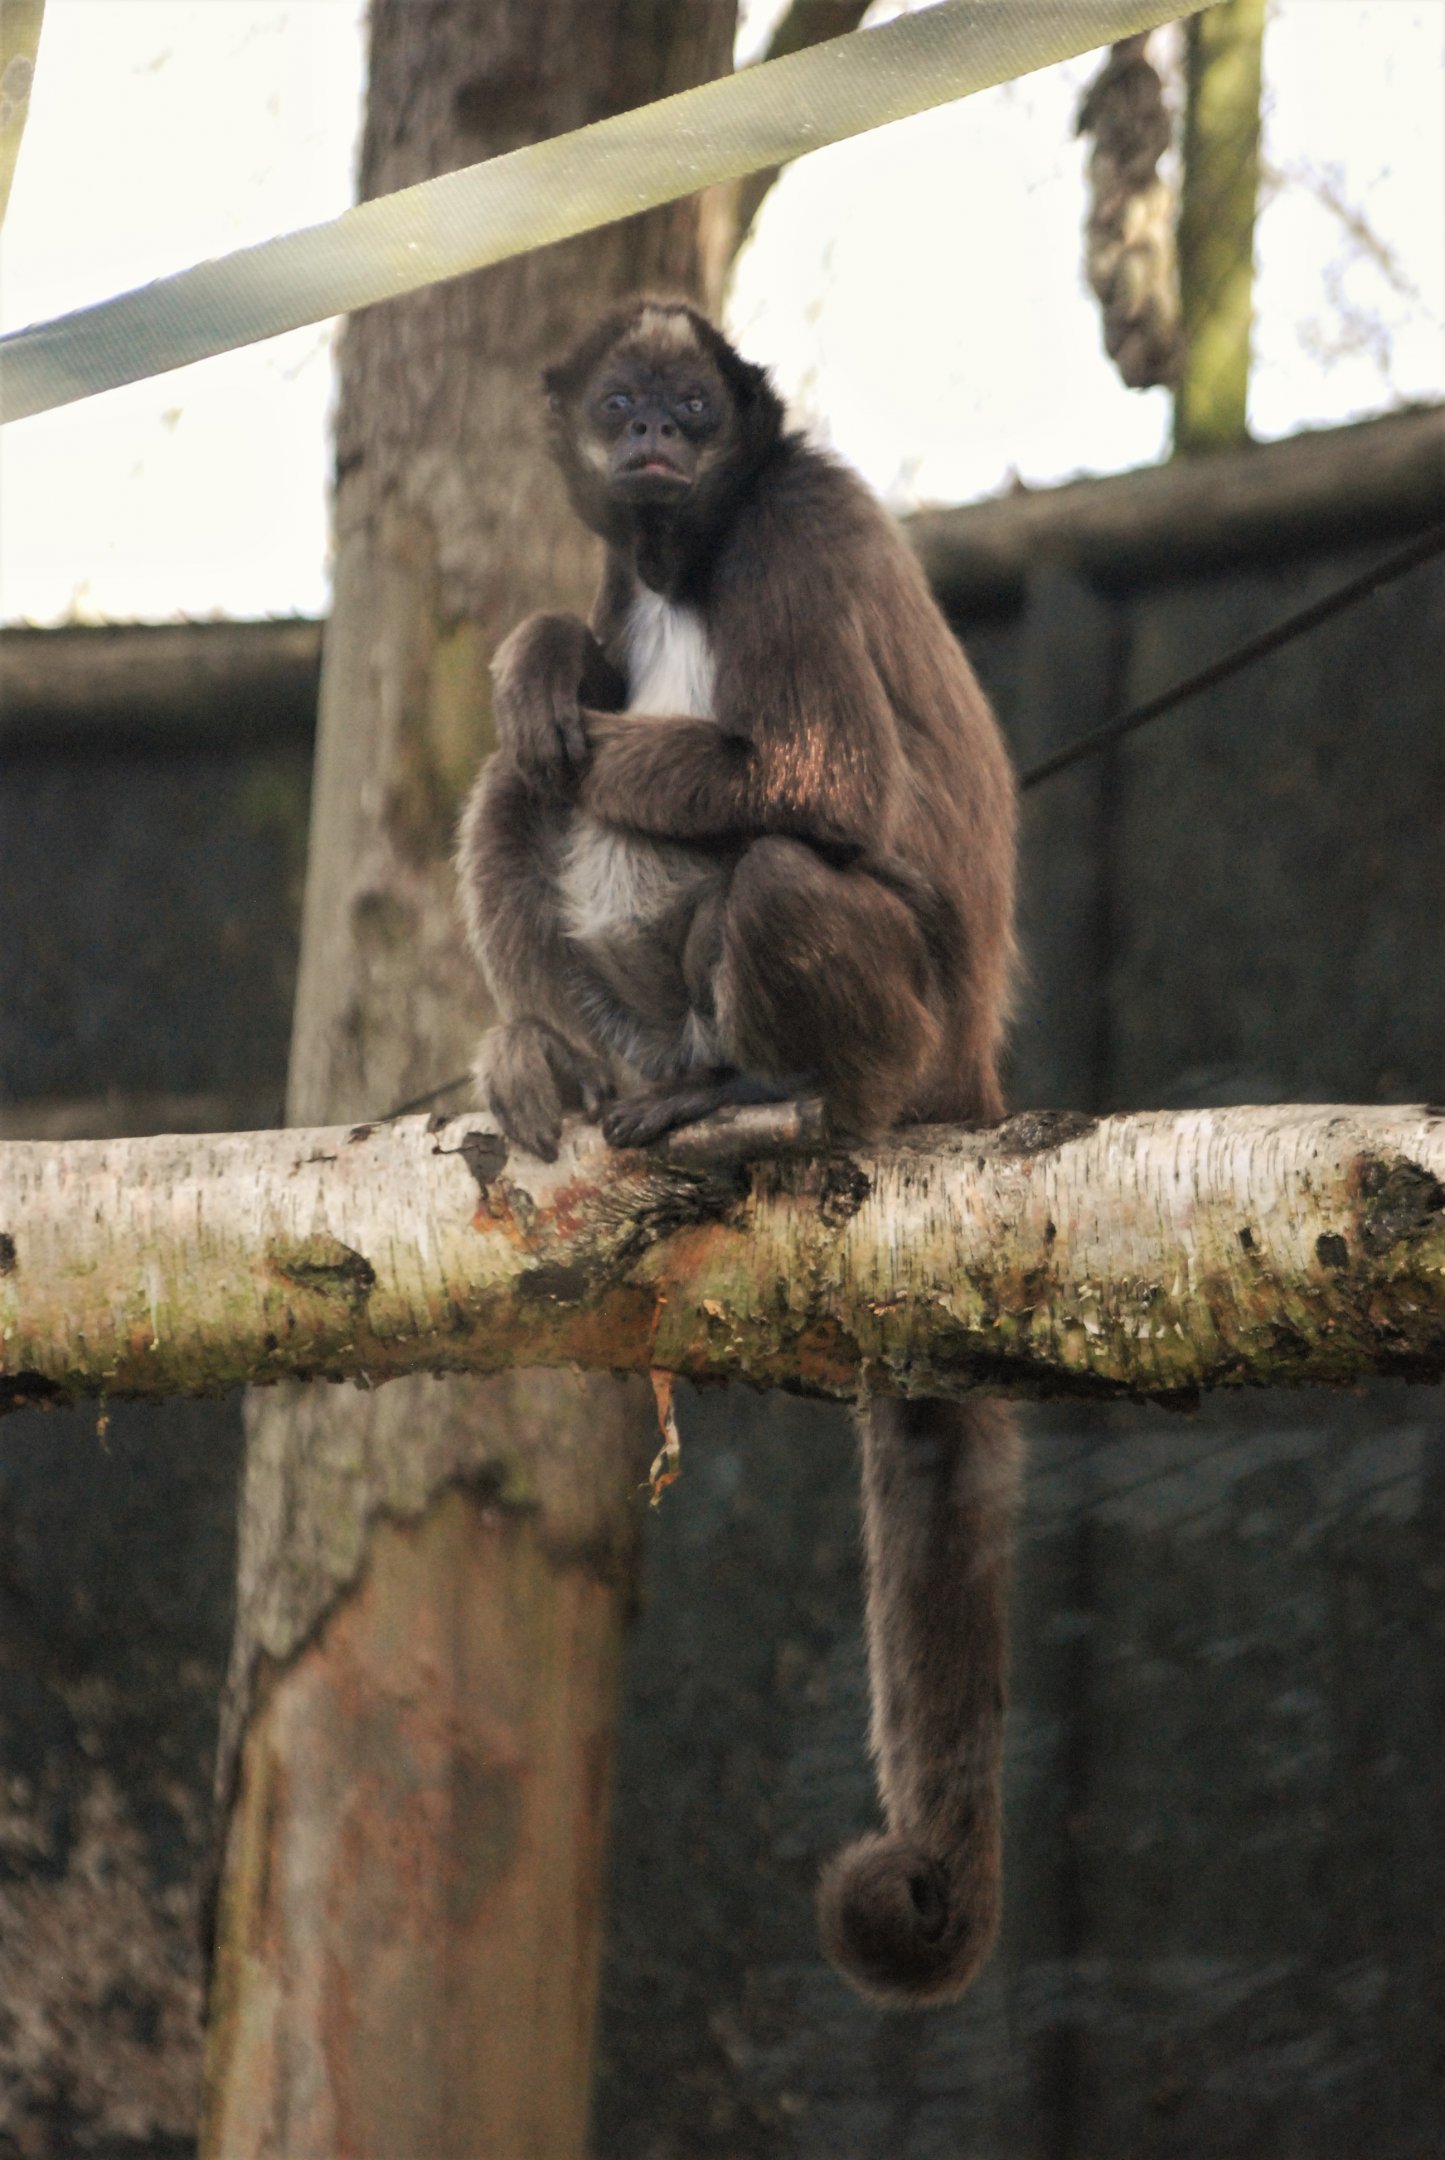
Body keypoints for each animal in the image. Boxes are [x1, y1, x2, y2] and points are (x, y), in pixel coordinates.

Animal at [456, 298, 1020, 2004]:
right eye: (626, 407)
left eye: (697, 417)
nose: (653, 439)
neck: (687, 557)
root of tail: (964, 1065)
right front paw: (543, 651)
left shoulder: (798, 526)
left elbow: (814, 780)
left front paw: (546, 678)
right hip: (653, 1035)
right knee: (517, 797)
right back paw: (548, 1054)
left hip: (899, 1028)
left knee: (765, 861)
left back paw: (786, 1106)